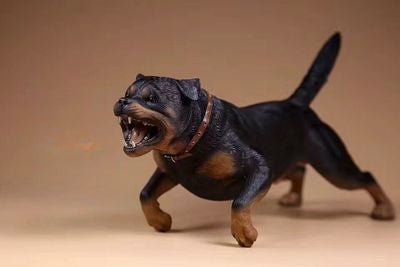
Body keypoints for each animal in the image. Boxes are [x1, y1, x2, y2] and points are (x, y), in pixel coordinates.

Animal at [114, 33, 396, 249]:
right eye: (127, 93)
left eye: (151, 98)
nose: (122, 101)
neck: (193, 139)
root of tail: (295, 104)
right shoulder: (168, 171)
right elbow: (145, 194)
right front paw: (160, 221)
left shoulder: (260, 169)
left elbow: (240, 202)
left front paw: (245, 234)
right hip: (291, 160)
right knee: (298, 169)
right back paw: (294, 198)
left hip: (332, 164)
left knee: (365, 176)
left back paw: (385, 209)